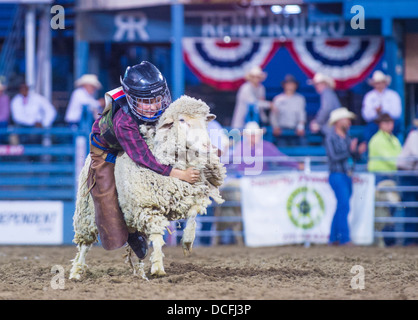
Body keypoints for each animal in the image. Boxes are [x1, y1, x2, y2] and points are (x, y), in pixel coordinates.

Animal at [69, 95, 227, 280]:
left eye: (204, 121)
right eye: (182, 120)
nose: (208, 147)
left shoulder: (190, 195)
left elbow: (194, 213)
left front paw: (187, 241)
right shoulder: (148, 207)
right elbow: (158, 236)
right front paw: (158, 267)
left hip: (130, 216)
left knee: (136, 243)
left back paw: (139, 271)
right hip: (88, 213)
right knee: (85, 245)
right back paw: (76, 272)